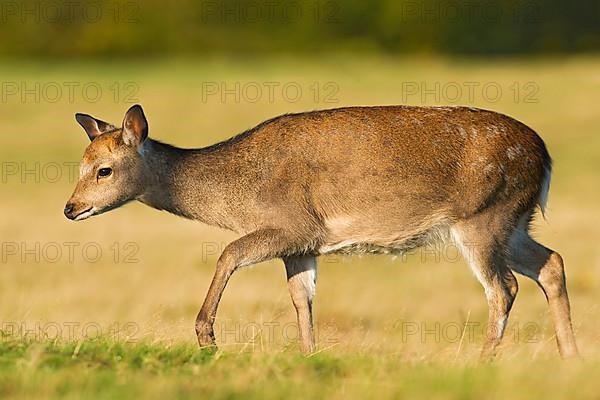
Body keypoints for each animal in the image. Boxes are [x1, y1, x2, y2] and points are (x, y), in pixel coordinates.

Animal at [64, 104, 576, 360]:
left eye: (104, 170)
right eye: (81, 165)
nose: (70, 208)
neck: (235, 197)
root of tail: (545, 156)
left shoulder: (292, 223)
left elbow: (228, 252)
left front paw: (206, 336)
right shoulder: (303, 244)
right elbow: (301, 298)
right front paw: (309, 356)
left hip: (482, 216)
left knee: (503, 287)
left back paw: (480, 361)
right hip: (514, 222)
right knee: (551, 263)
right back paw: (570, 356)